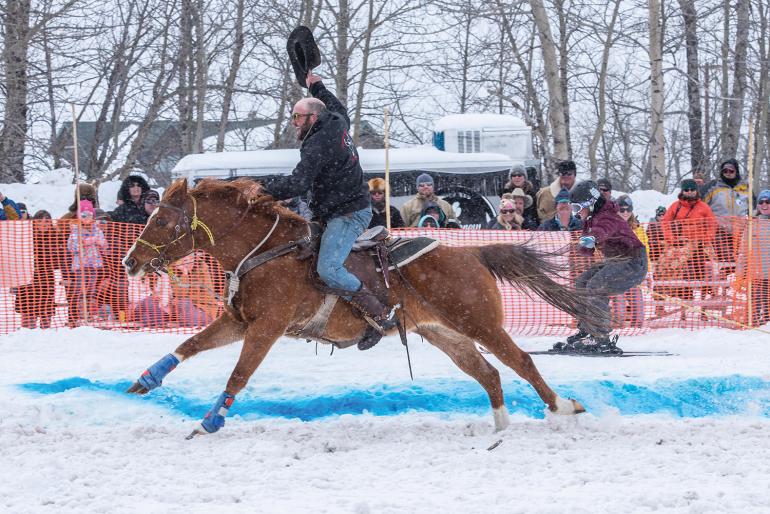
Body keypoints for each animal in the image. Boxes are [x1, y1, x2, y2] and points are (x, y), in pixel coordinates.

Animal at [121, 177, 600, 436]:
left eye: (162, 220)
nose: (129, 262)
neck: (266, 250)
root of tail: (473, 254)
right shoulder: (239, 321)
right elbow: (190, 344)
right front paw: (146, 379)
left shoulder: (266, 327)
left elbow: (239, 374)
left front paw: (210, 422)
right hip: (448, 336)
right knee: (489, 374)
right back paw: (500, 429)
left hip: (482, 325)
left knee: (521, 361)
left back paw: (562, 408)